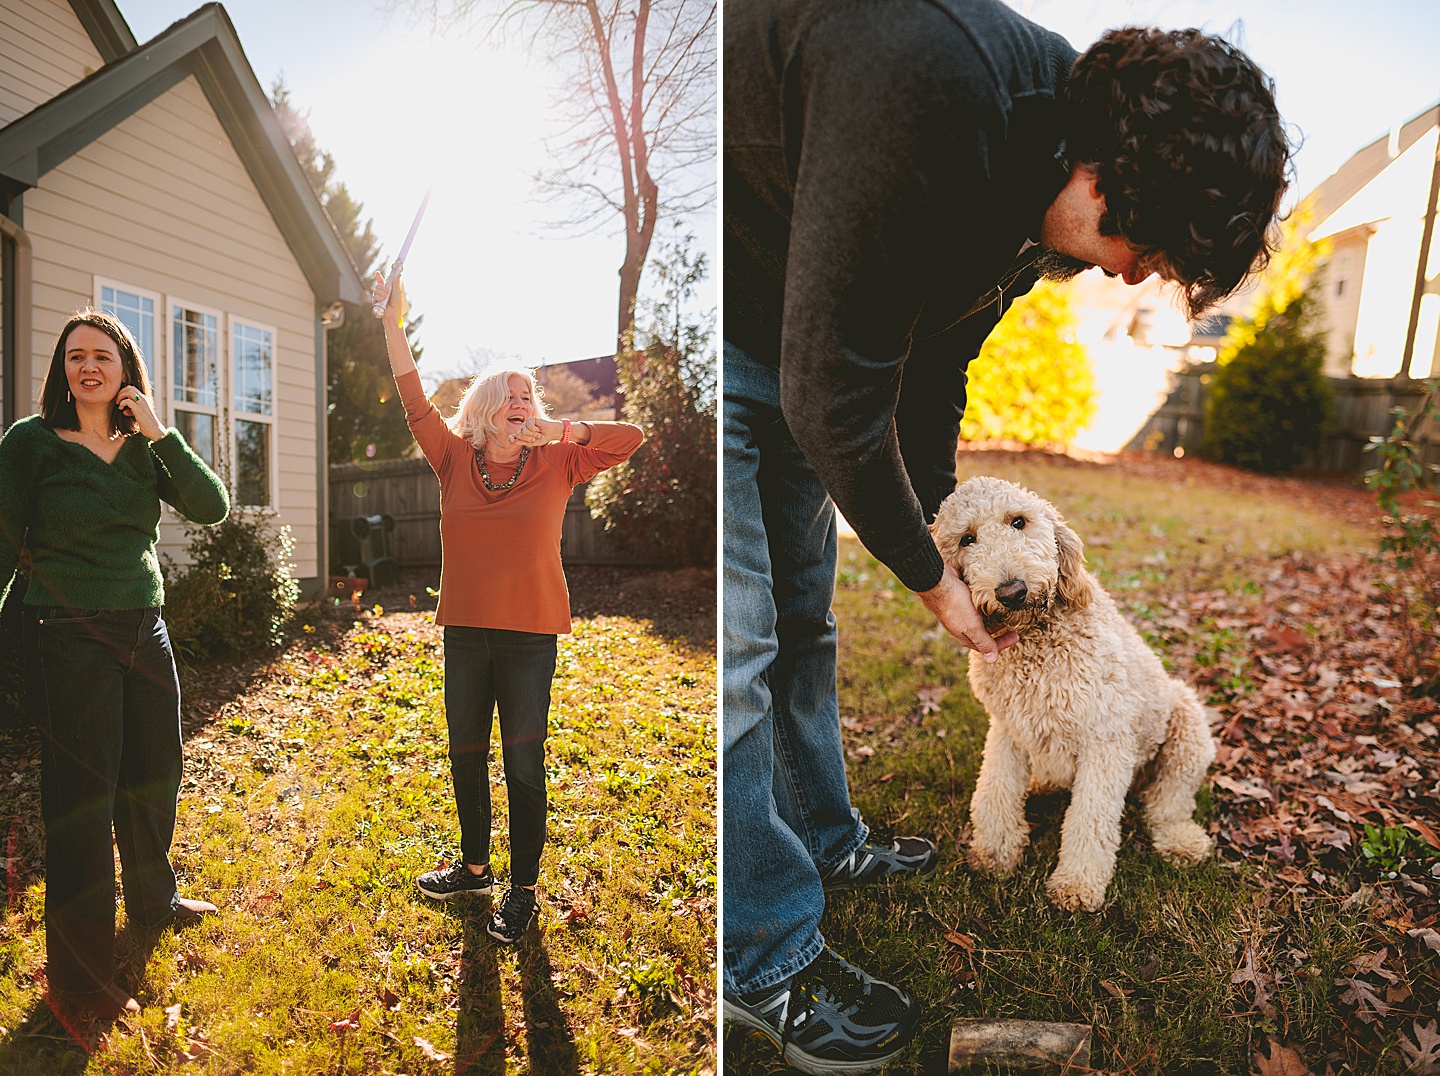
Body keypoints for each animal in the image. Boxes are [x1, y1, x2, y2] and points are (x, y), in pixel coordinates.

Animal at [933, 478, 1215, 910]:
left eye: (1018, 521)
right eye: (967, 539)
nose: (1012, 592)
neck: (1035, 642)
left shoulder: (1106, 741)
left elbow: (1090, 819)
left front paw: (1077, 884)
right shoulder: (1008, 729)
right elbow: (994, 790)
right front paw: (996, 853)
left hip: (1187, 728)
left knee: (1168, 803)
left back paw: (1181, 839)